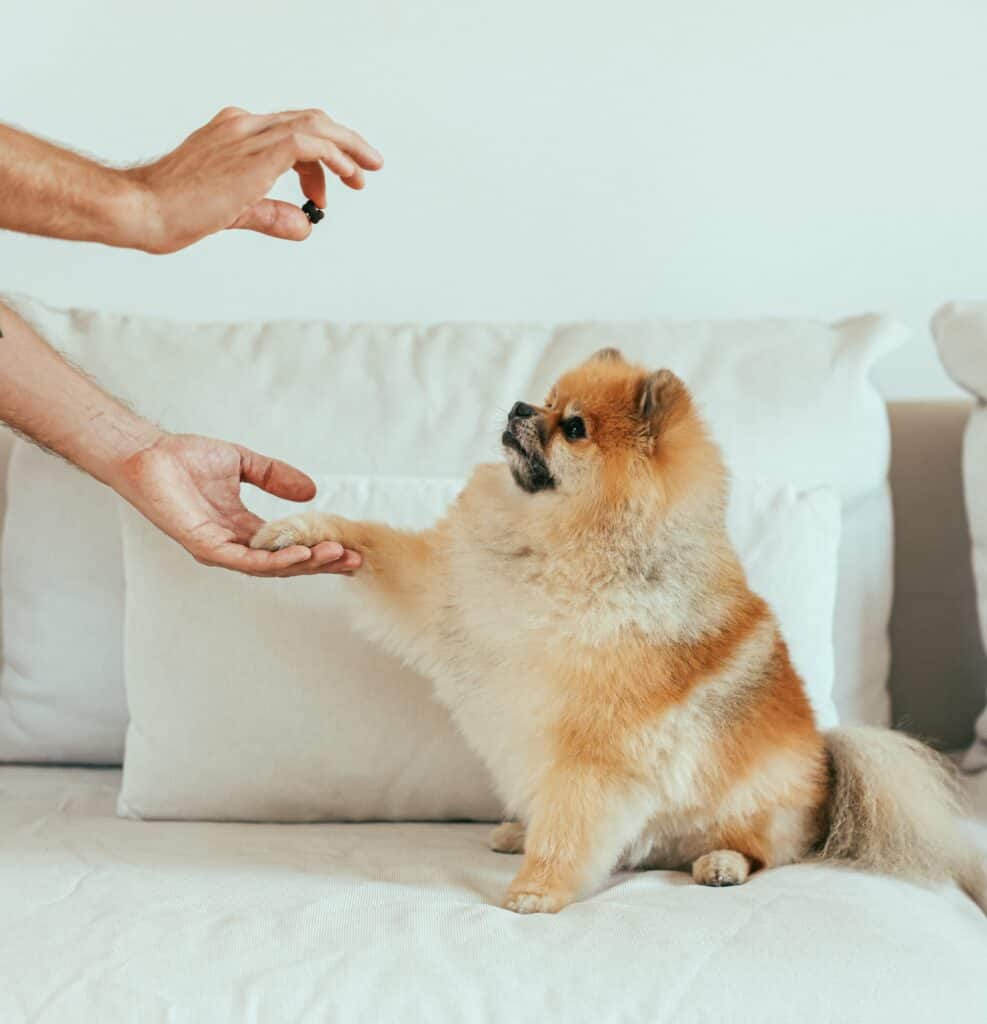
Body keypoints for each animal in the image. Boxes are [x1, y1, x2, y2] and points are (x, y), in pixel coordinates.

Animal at [248, 348, 987, 917]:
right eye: (547, 399)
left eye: (573, 427)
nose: (518, 407)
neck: (555, 546)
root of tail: (828, 764)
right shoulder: (441, 590)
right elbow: (371, 542)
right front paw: (300, 530)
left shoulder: (596, 748)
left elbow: (571, 825)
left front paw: (539, 891)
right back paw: (519, 829)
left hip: (755, 805)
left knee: (767, 850)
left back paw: (720, 863)